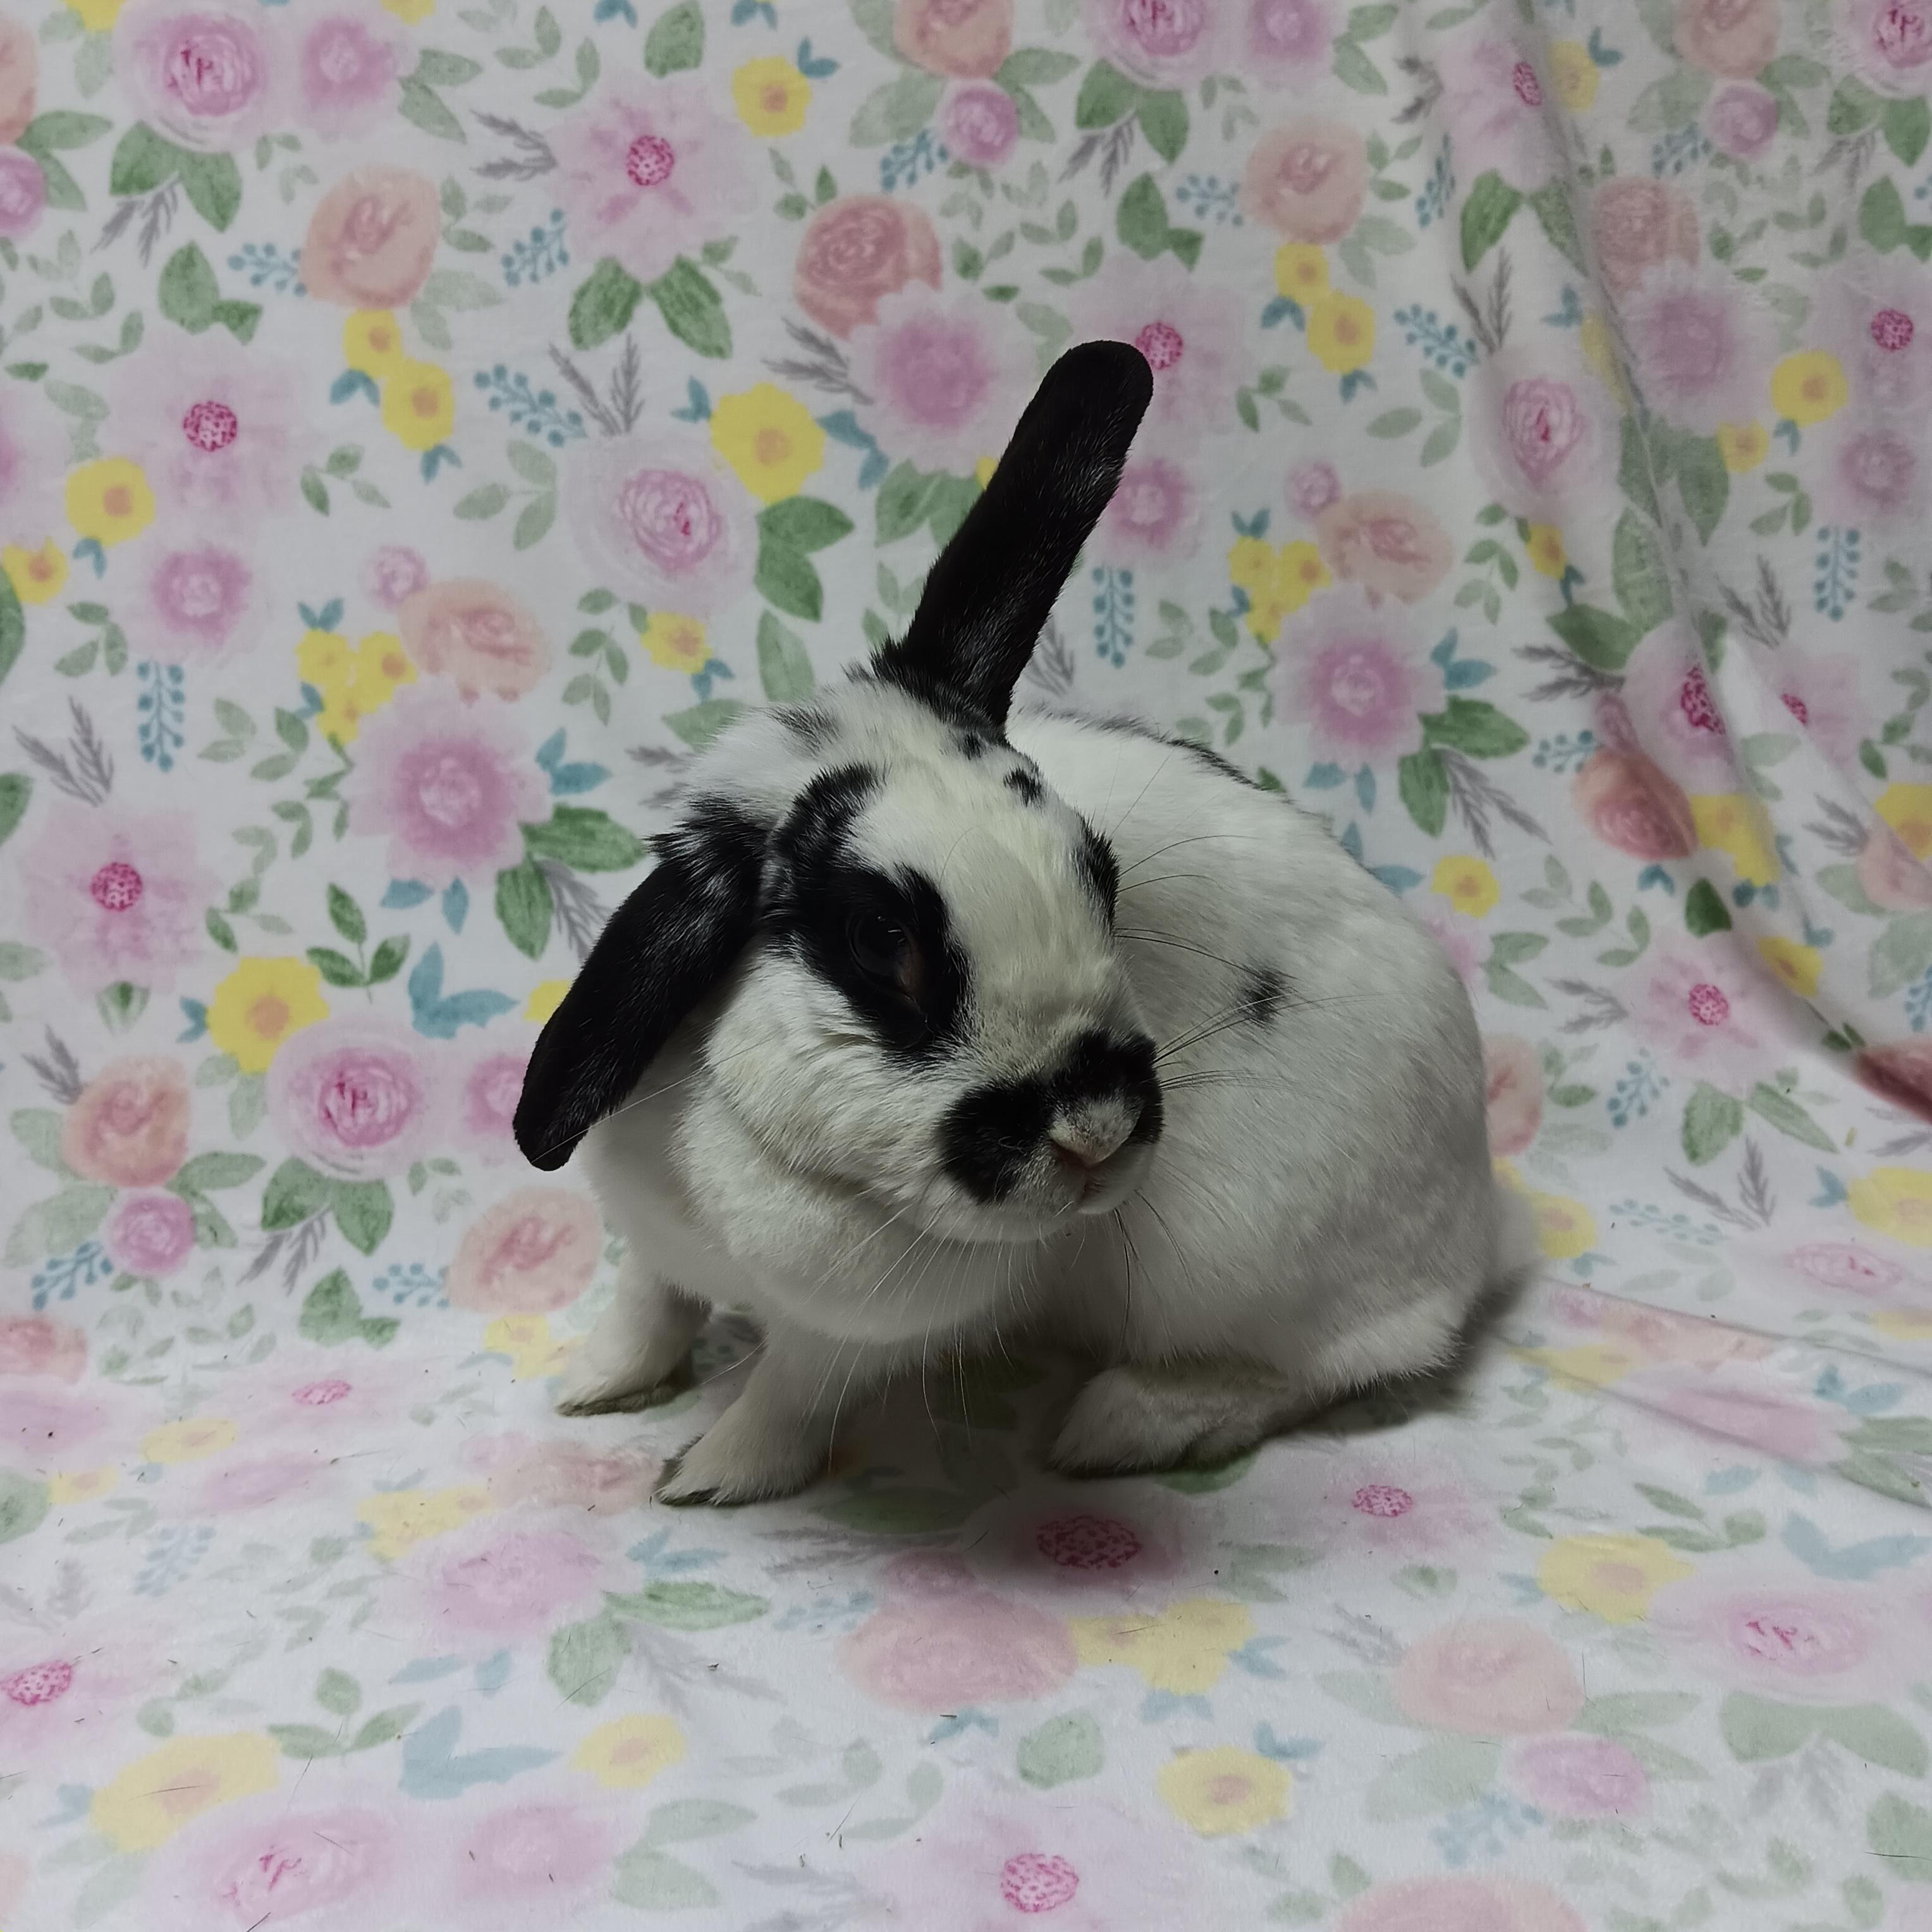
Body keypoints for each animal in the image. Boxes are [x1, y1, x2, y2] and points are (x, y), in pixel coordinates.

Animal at [513, 340, 1533, 1505]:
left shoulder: (848, 1336)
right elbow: (649, 1307)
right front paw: (592, 1385)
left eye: (1099, 875)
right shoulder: (655, 1245)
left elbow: (786, 1397)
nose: (1096, 1131)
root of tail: (1478, 1237)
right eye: (881, 944)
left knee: (1325, 1366)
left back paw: (1126, 1425)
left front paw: (705, 1475)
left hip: (1245, 1272)